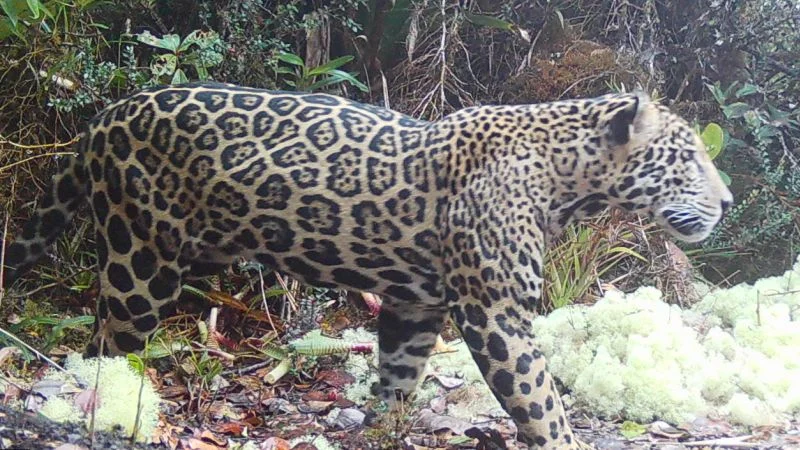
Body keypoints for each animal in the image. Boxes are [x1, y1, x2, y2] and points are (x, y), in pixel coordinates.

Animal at [0, 82, 732, 449]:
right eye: (688, 156)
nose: (726, 202)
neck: (568, 180)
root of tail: (102, 118)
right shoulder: (494, 312)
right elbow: (541, 401)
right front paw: (561, 440)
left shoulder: (416, 304)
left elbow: (399, 379)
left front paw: (383, 431)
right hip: (140, 261)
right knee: (105, 349)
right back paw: (110, 412)